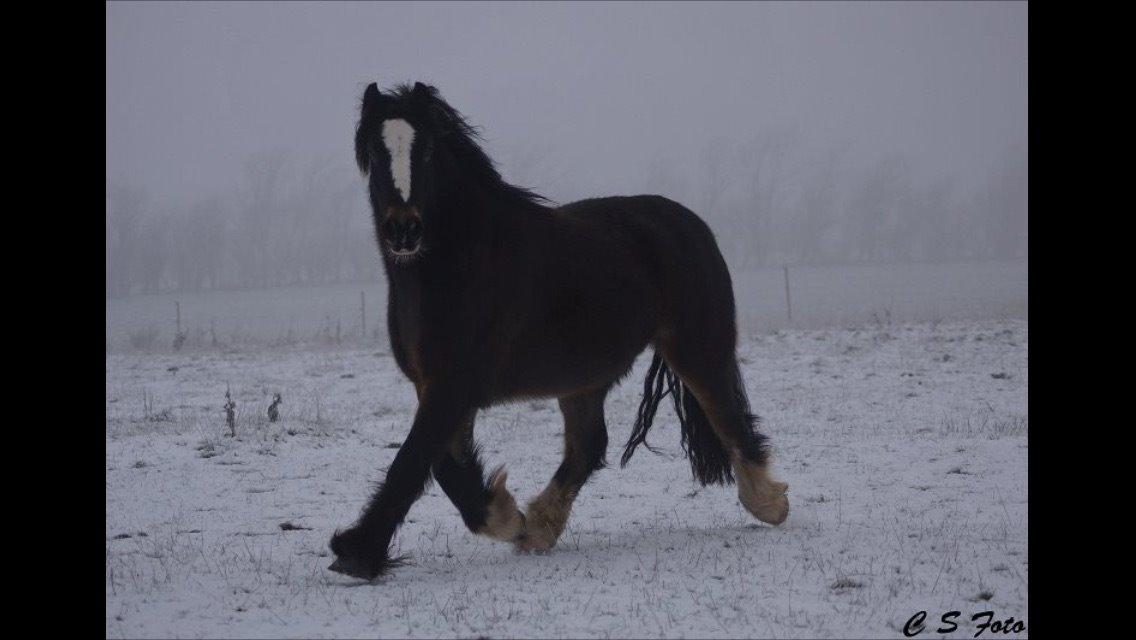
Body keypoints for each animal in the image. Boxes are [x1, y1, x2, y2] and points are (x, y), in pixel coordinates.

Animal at [329, 81, 790, 582]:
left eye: (428, 150)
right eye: (375, 152)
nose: (403, 231)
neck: (460, 262)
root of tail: (693, 225)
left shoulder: (455, 386)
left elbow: (412, 461)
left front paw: (356, 552)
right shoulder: (433, 385)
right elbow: (445, 468)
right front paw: (506, 517)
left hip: (696, 348)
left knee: (728, 416)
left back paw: (769, 504)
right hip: (585, 377)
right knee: (588, 447)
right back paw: (540, 528)